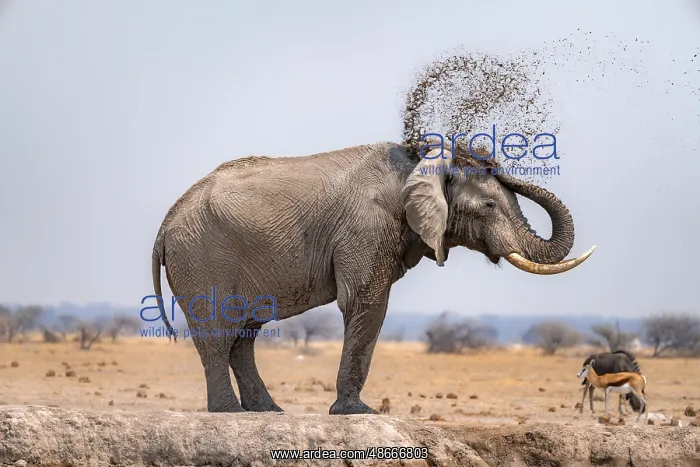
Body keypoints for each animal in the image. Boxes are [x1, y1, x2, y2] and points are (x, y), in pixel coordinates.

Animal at [150, 139, 595, 415]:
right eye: (488, 205)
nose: (487, 155)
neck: (420, 168)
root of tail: (166, 224)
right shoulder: (367, 227)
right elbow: (366, 301)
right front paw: (356, 413)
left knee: (244, 334)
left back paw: (266, 412)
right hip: (203, 258)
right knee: (219, 334)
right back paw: (228, 412)